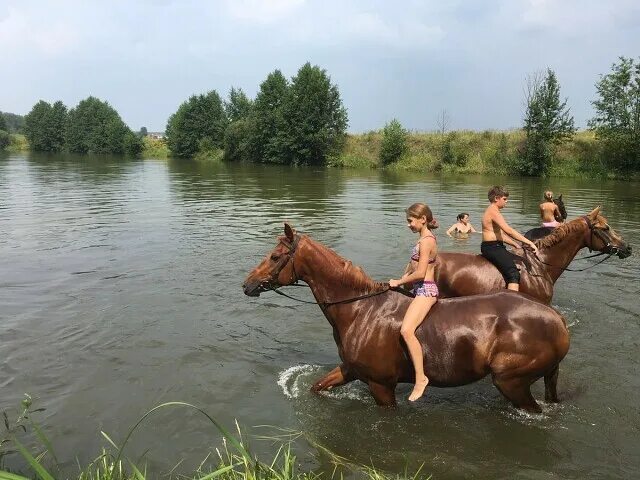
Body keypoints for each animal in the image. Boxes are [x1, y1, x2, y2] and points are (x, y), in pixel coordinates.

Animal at [241, 225, 568, 412]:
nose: (247, 285)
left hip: (512, 382)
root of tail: (556, 318)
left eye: (274, 257)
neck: (359, 310)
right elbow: (318, 386)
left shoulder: (380, 385)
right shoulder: (351, 369)